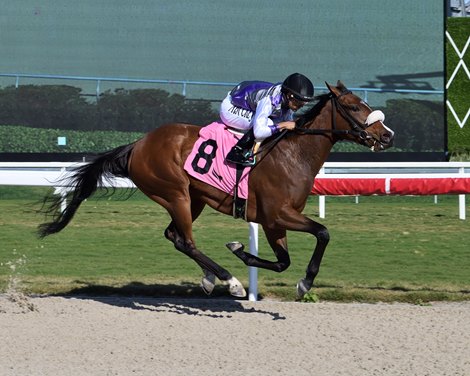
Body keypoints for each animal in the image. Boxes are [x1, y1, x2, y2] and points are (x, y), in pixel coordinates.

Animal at [38, 81, 394, 298]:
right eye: (356, 107)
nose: (388, 134)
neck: (293, 155)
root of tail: (138, 144)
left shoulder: (274, 221)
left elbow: (283, 261)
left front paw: (242, 251)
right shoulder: (277, 214)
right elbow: (322, 233)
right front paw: (304, 283)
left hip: (193, 198)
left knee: (174, 236)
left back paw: (212, 277)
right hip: (175, 193)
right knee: (186, 241)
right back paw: (229, 280)